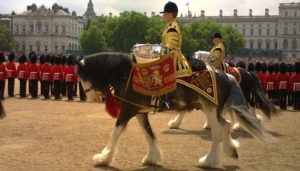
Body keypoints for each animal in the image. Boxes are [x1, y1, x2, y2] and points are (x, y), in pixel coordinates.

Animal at [75, 44, 274, 168]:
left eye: (81, 75)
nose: (90, 96)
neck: (128, 74)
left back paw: (208, 160)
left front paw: (103, 157)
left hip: (210, 108)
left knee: (219, 131)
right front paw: (153, 157)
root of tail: (227, 75)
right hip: (211, 109)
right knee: (225, 125)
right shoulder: (139, 111)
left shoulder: (128, 110)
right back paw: (230, 149)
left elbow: (115, 132)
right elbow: (148, 133)